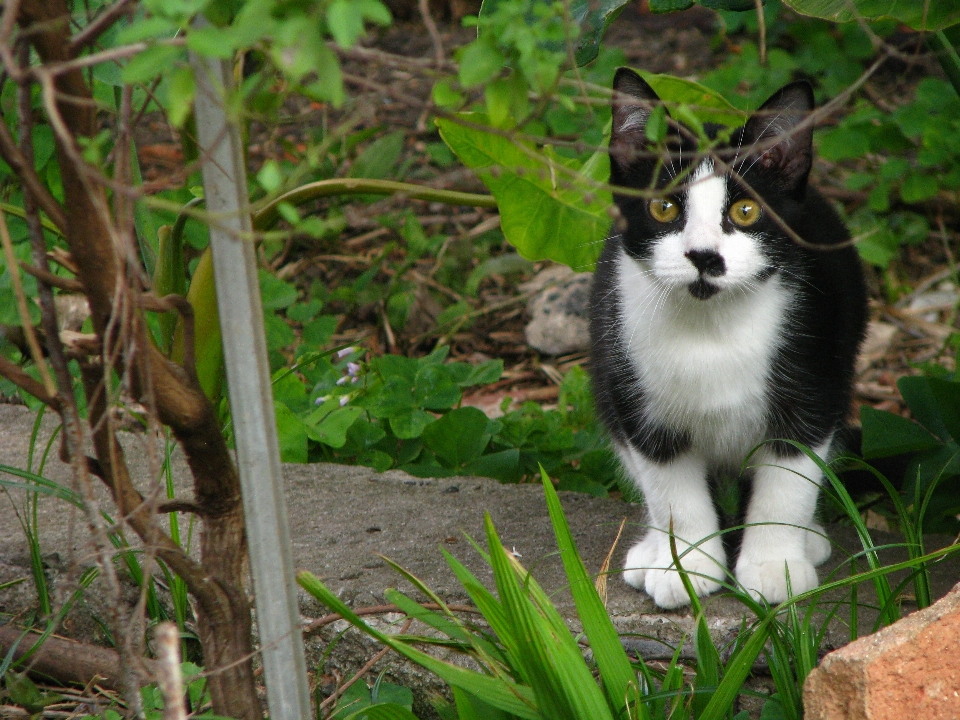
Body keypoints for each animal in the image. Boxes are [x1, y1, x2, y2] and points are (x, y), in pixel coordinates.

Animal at [592, 69, 872, 608]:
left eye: (745, 210)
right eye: (663, 207)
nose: (704, 256)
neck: (711, 326)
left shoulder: (813, 383)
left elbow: (787, 483)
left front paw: (773, 566)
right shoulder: (636, 395)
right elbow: (671, 490)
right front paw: (685, 567)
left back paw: (808, 539)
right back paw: (651, 551)